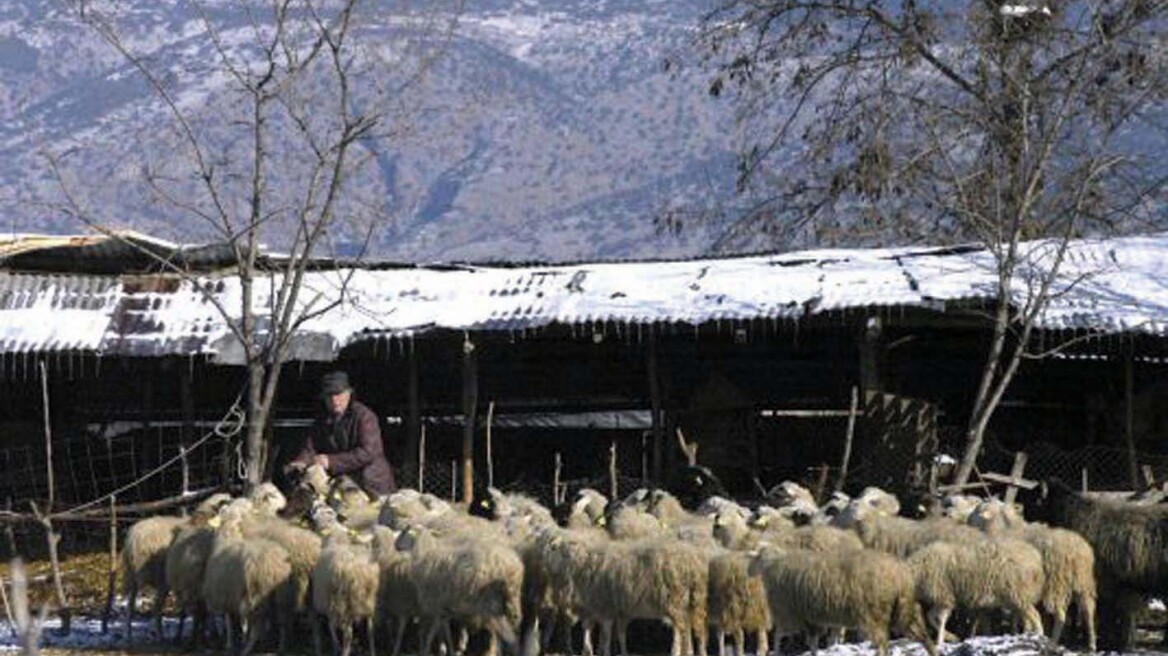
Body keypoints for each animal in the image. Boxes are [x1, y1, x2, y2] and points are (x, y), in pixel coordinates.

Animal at [202, 497, 292, 648]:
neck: (228, 536)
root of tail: (272, 564)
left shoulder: (225, 594)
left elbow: (230, 622)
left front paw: (230, 643)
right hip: (281, 596)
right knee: (282, 622)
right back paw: (281, 645)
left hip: (255, 595)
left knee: (255, 626)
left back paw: (247, 646)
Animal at [747, 541, 929, 653]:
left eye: (755, 558)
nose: (748, 572)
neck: (773, 566)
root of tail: (901, 574)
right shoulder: (811, 619)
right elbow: (813, 643)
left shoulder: (788, 614)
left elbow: (778, 637)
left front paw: (775, 651)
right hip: (903, 608)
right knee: (922, 635)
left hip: (874, 614)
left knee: (883, 646)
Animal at [906, 532, 1046, 648]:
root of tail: (1035, 558)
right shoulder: (941, 599)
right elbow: (930, 617)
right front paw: (951, 637)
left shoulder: (944, 596)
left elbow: (939, 619)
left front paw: (940, 641)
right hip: (1016, 597)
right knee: (1025, 617)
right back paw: (1023, 634)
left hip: (1018, 593)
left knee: (1035, 615)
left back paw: (1039, 635)